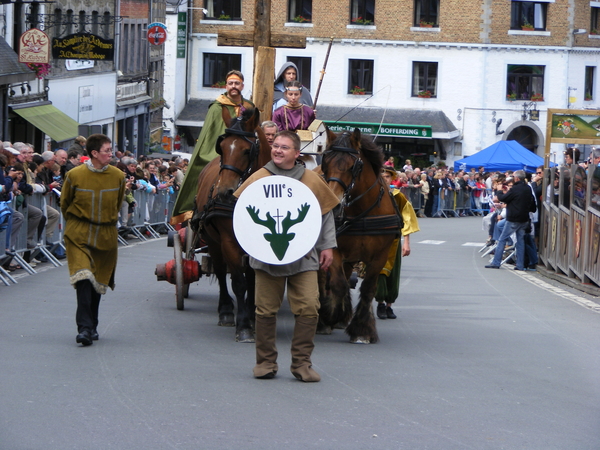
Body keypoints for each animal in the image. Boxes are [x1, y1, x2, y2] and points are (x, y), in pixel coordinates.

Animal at [192, 107, 272, 342]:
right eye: (223, 147)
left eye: (246, 151)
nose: (224, 192)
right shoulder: (229, 241)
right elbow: (238, 281)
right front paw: (243, 326)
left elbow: (254, 280)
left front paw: (253, 317)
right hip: (212, 240)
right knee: (219, 270)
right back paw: (226, 311)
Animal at [322, 128, 400, 342]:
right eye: (326, 162)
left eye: (353, 167)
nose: (334, 205)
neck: (362, 212)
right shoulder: (334, 249)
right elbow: (338, 284)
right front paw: (331, 316)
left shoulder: (380, 255)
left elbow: (367, 288)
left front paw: (362, 329)